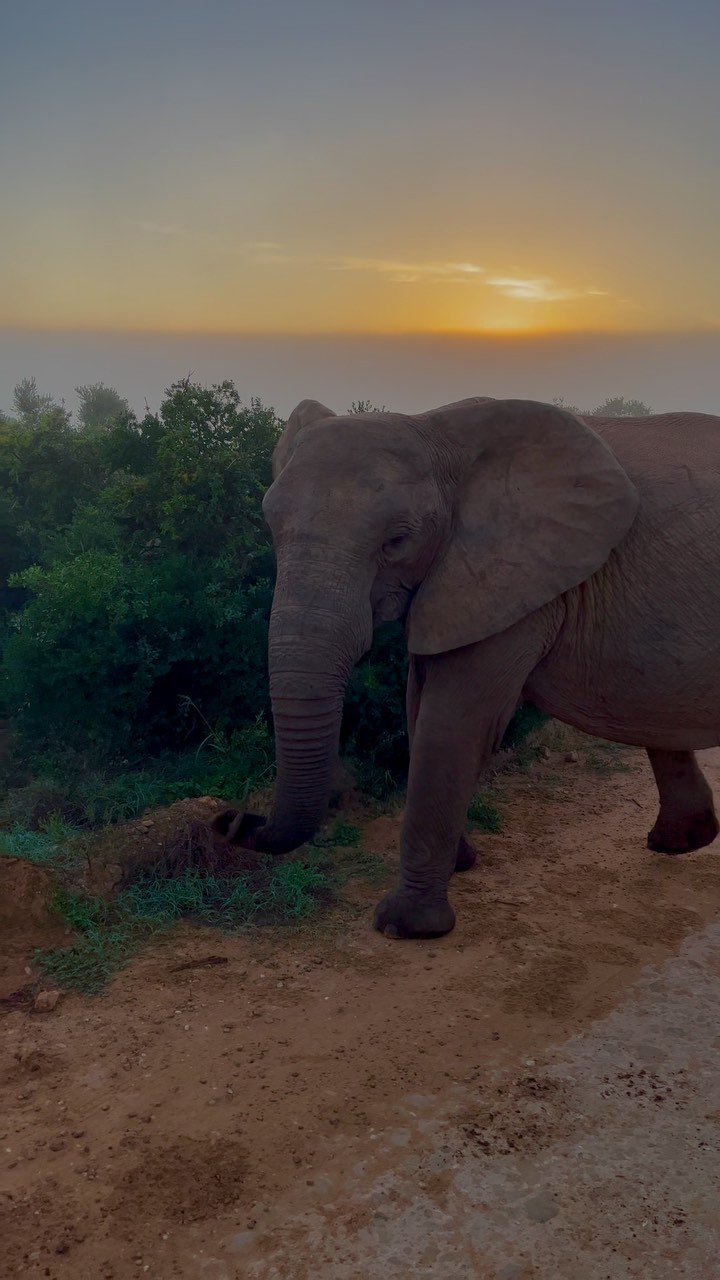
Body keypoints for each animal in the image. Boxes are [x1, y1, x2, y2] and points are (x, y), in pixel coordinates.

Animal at [213, 395, 720, 938]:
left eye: (397, 541)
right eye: (271, 528)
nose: (231, 820)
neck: (435, 430)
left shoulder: (512, 576)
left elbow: (453, 722)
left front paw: (405, 926)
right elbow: (418, 707)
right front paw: (461, 866)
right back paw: (677, 843)